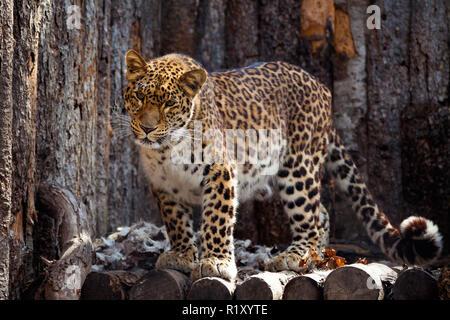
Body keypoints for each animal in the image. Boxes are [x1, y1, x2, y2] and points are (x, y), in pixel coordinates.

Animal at [123, 48, 442, 282]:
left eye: (168, 104)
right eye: (139, 96)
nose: (148, 129)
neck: (166, 151)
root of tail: (322, 89)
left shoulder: (220, 171)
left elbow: (217, 218)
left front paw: (215, 262)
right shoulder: (164, 185)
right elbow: (176, 222)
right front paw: (181, 255)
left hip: (298, 167)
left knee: (311, 218)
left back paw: (298, 255)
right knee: (321, 212)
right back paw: (317, 256)